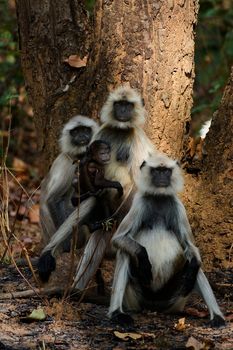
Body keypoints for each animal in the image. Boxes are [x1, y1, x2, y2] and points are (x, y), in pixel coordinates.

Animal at [109, 152, 226, 328]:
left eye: (166, 171)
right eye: (157, 171)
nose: (162, 177)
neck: (159, 198)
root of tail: (154, 307)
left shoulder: (177, 206)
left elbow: (190, 247)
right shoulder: (140, 203)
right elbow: (119, 239)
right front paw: (143, 258)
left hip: (175, 301)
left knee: (194, 264)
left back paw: (217, 316)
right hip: (134, 298)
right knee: (125, 253)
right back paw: (116, 313)